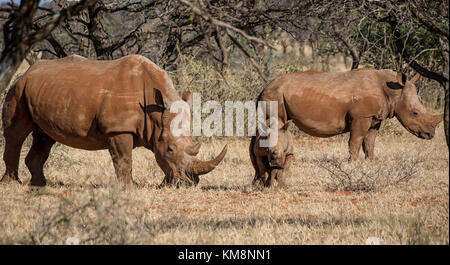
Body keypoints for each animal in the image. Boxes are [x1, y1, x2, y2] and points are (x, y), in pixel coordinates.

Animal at [1, 54, 227, 186]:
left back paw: (40, 185)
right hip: (18, 88)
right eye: (170, 149)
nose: (191, 182)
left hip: (43, 91)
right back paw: (12, 184)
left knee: (44, 136)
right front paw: (129, 188)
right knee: (16, 133)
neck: (154, 115)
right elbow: (124, 159)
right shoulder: (118, 129)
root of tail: (28, 71)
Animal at [258, 69, 442, 160]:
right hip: (274, 95)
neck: (392, 91)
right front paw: (352, 164)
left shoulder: (374, 117)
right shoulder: (361, 117)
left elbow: (369, 142)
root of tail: (264, 87)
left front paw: (371, 162)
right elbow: (355, 141)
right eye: (415, 113)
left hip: (275, 93)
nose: (431, 135)